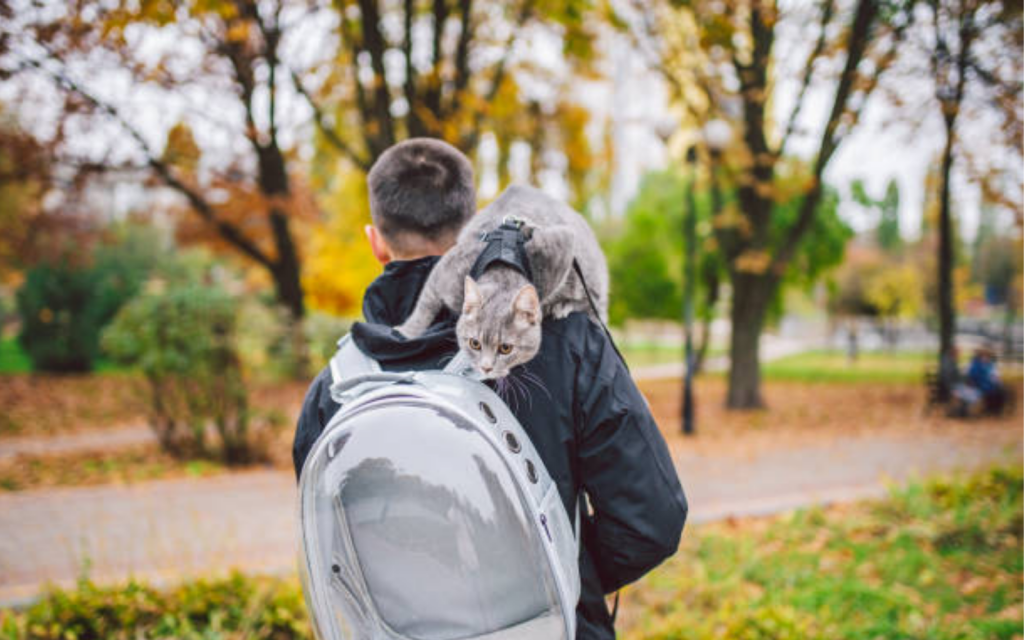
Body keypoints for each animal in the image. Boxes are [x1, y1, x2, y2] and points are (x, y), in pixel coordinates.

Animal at [393, 182, 606, 376]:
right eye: (475, 344)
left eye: (505, 348)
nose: (486, 368)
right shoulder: (446, 270)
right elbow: (425, 304)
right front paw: (407, 331)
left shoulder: (562, 244)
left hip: (590, 276)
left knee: (593, 308)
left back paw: (562, 306)